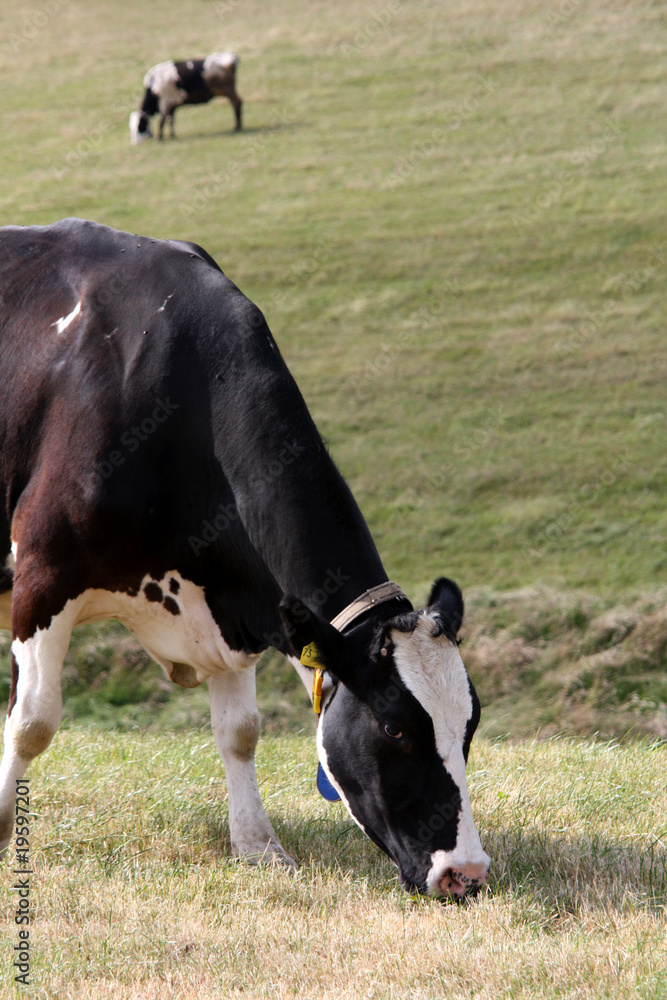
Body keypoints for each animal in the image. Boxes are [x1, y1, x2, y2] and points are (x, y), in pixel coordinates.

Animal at [0, 217, 490, 900]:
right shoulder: (44, 574)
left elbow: (241, 731)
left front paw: (259, 848)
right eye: (395, 727)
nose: (465, 874)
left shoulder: (234, 601)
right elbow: (33, 722)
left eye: (469, 725)